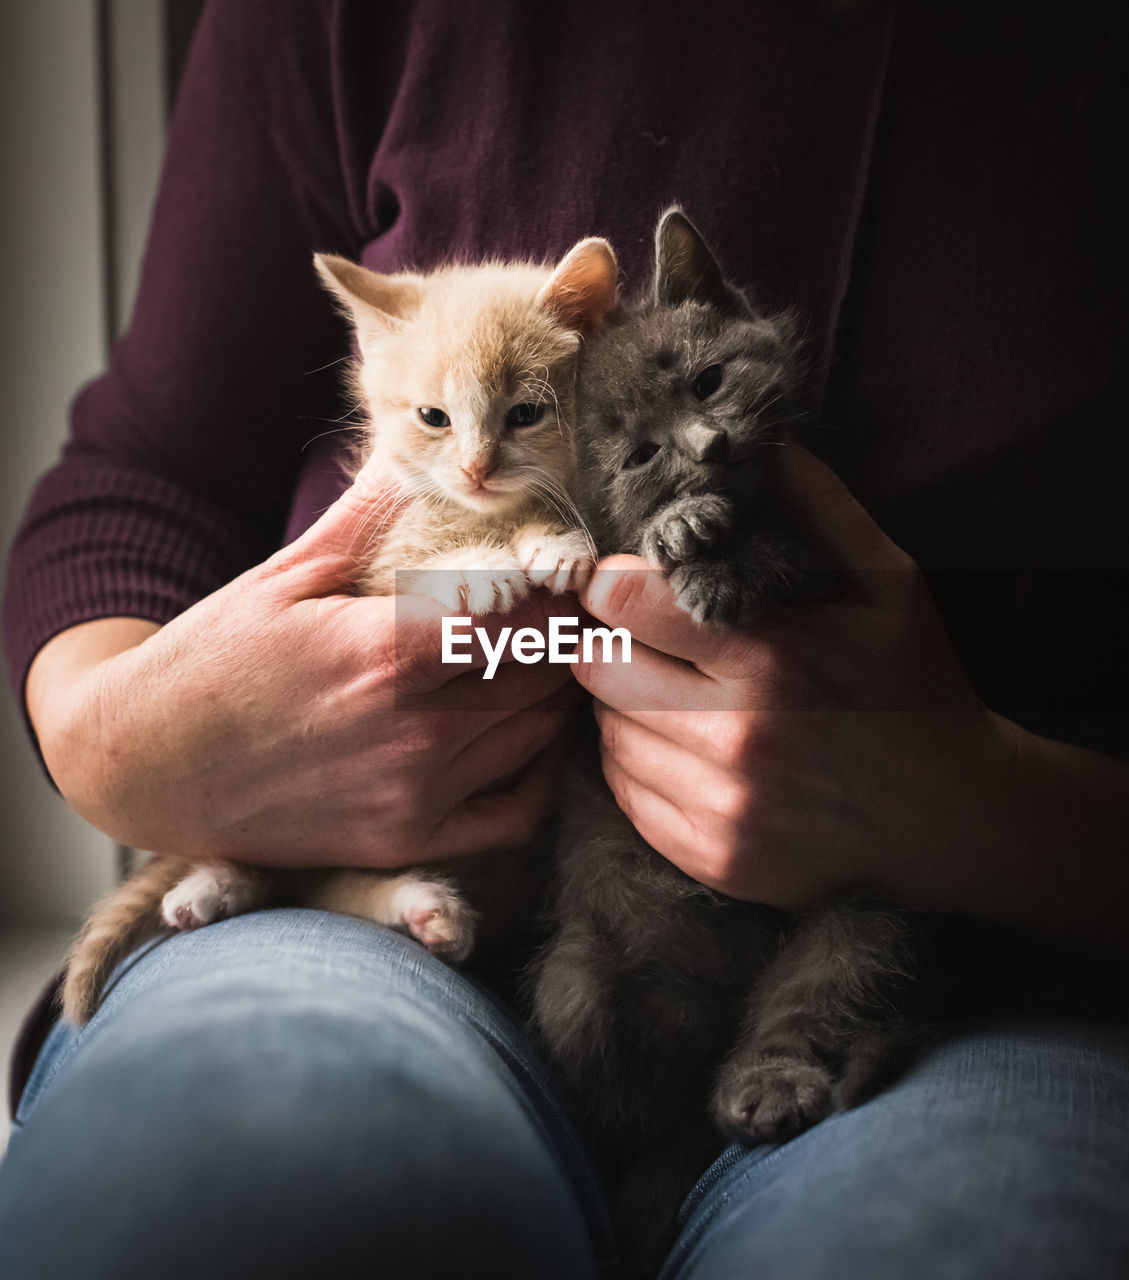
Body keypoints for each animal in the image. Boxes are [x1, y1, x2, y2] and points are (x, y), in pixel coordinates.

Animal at [60, 235, 616, 1024]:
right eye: (433, 416)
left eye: (527, 413)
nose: (476, 468)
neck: (479, 511)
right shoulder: (377, 563)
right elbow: (414, 568)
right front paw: (481, 566)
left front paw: (557, 542)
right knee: (300, 872)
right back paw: (219, 886)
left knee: (320, 885)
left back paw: (416, 907)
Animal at [527, 207, 916, 1269]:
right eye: (638, 456)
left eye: (707, 382)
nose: (706, 448)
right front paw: (681, 526)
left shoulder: (835, 560)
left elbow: (784, 550)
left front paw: (715, 552)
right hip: (578, 984)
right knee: (654, 1108)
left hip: (856, 906)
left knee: (820, 992)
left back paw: (769, 1086)